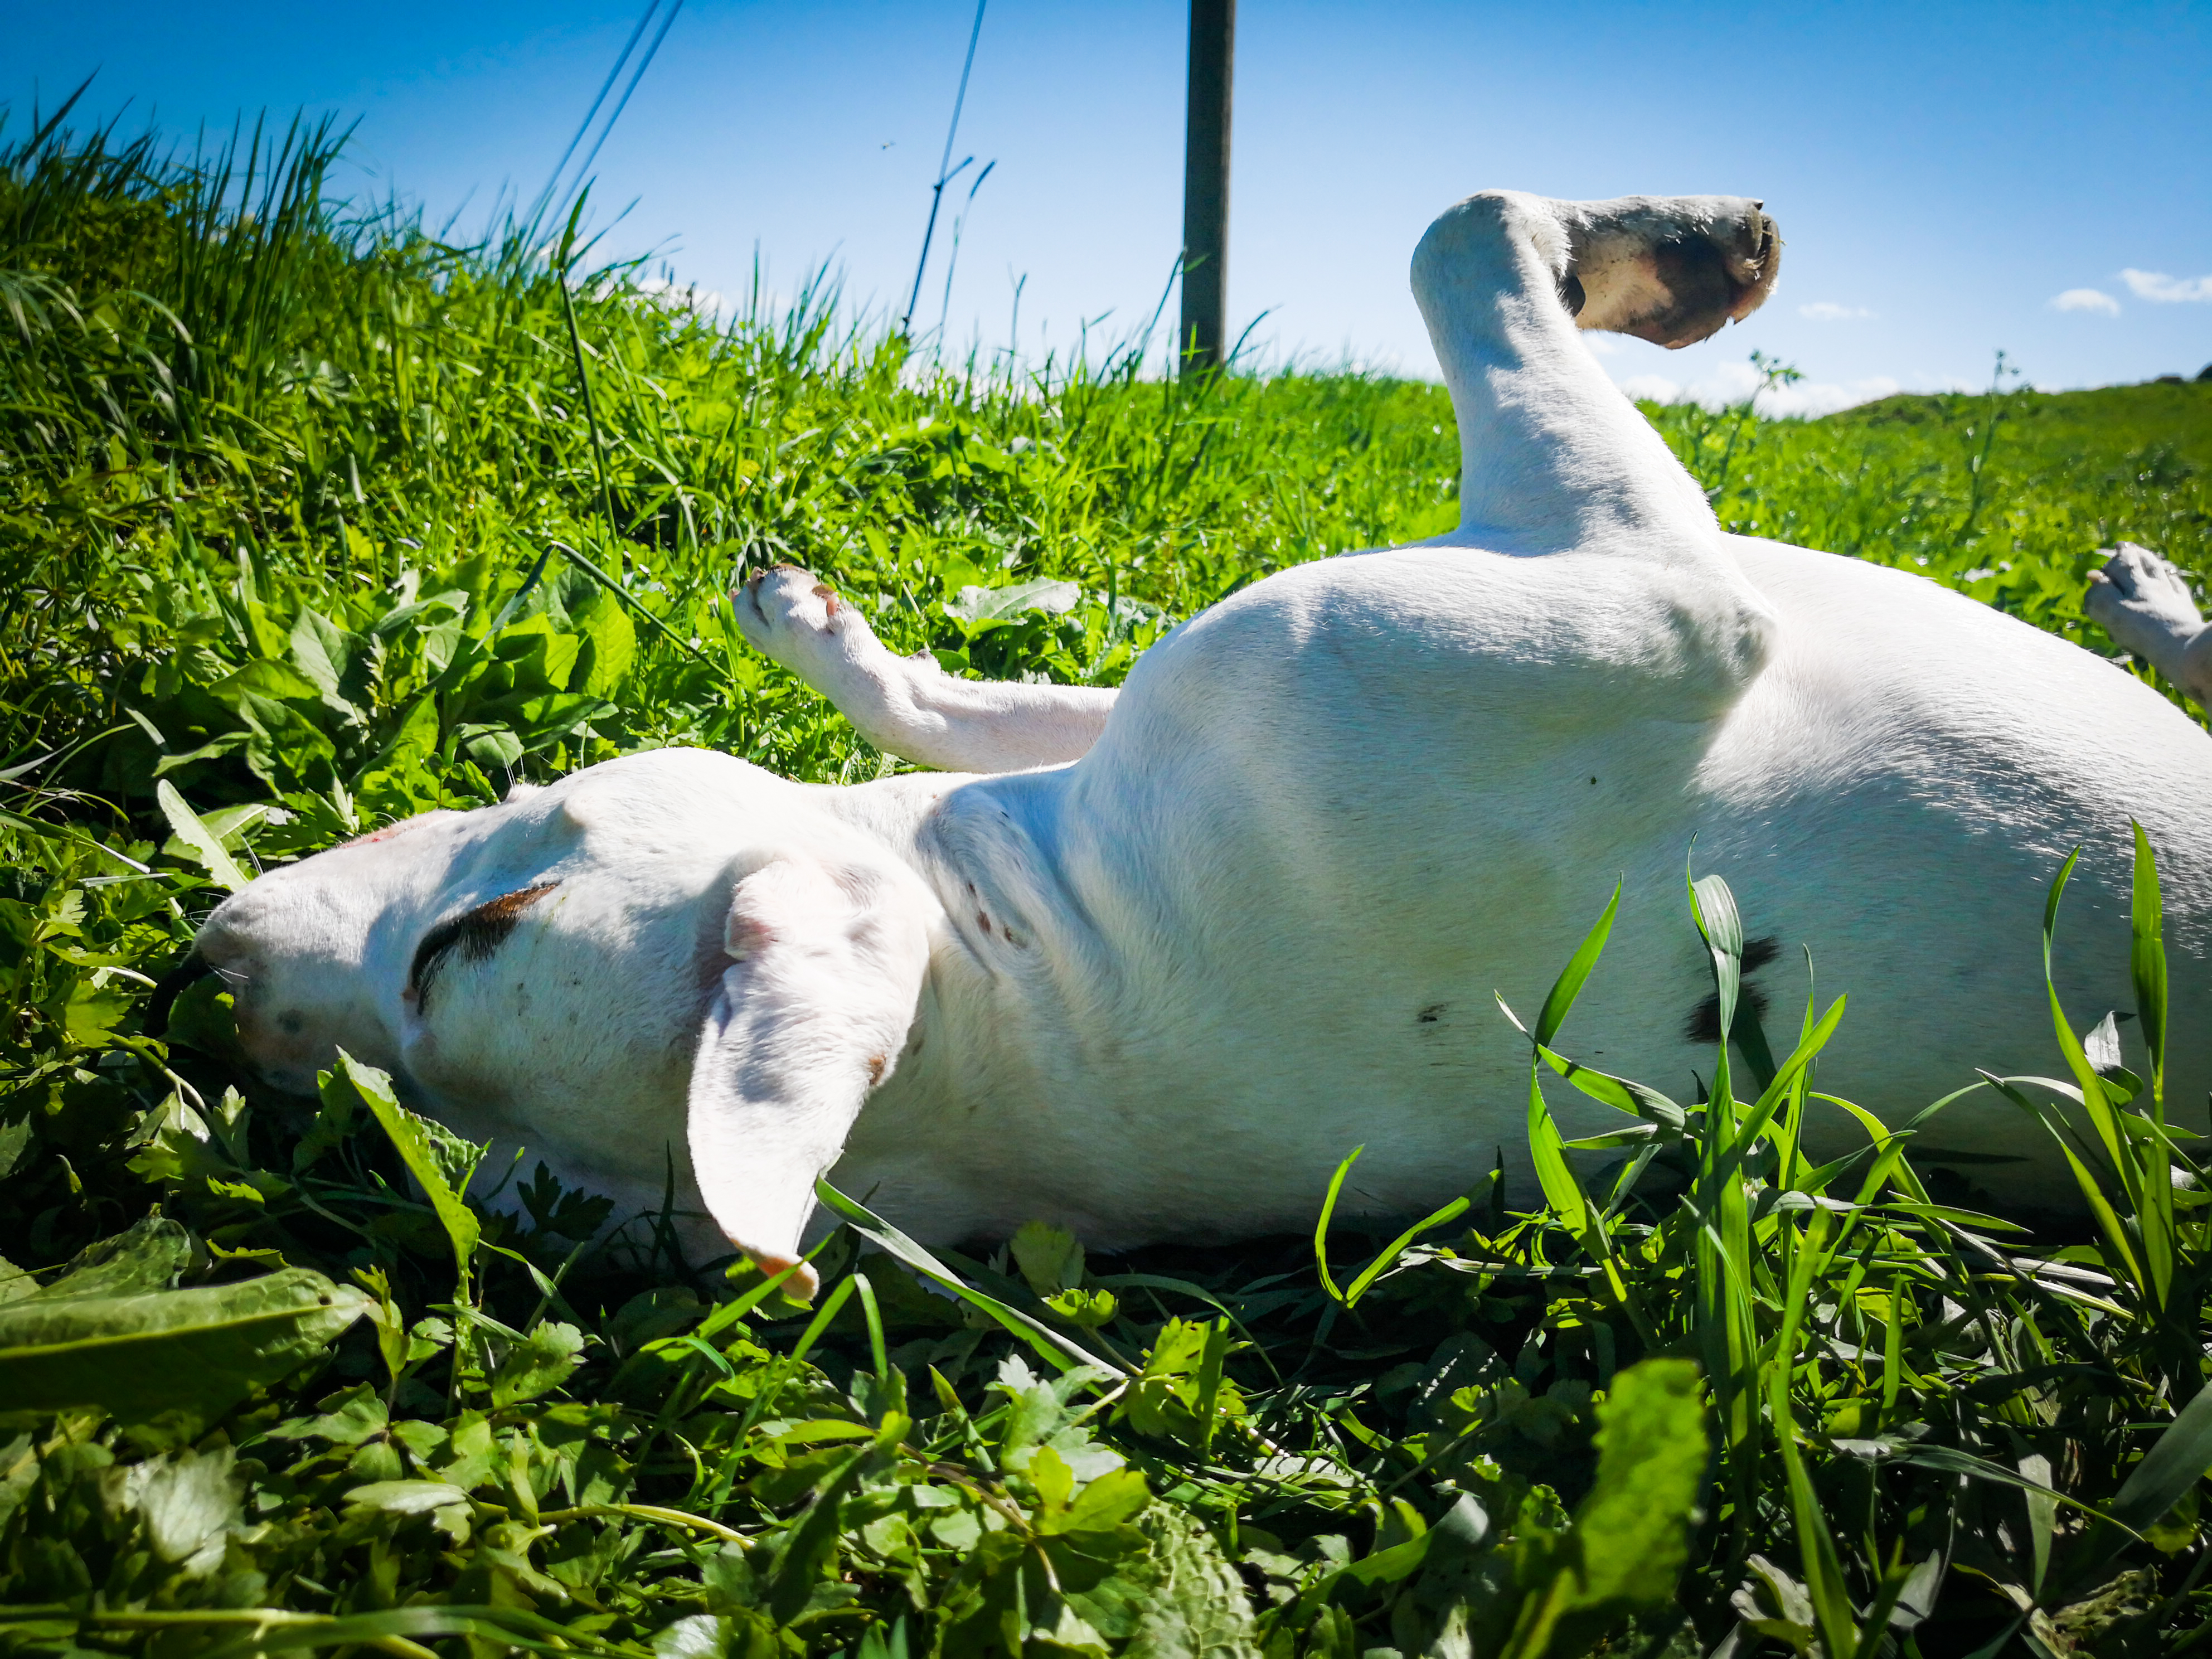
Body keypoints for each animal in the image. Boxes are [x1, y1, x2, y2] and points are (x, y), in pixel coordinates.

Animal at [160, 191, 2212, 1283]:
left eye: (463, 938)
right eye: (447, 1133)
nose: (201, 987)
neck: (1029, 965)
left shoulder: (1147, 725)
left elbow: (978, 699)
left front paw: (816, 628)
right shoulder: (1652, 598)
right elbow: (1464, 230)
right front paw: (1675, 257)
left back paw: (2146, 600)